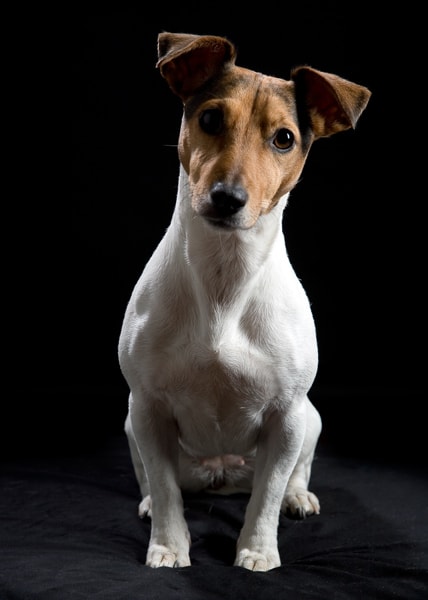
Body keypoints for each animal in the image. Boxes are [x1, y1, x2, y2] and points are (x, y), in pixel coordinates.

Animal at [118, 31, 371, 572]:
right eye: (211, 118)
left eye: (284, 139)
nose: (228, 197)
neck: (225, 274)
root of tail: (221, 473)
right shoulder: (147, 406)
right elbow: (166, 489)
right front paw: (168, 546)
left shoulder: (287, 416)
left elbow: (267, 495)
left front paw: (258, 550)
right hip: (133, 423)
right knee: (155, 477)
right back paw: (148, 503)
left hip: (311, 420)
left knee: (294, 472)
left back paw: (299, 497)